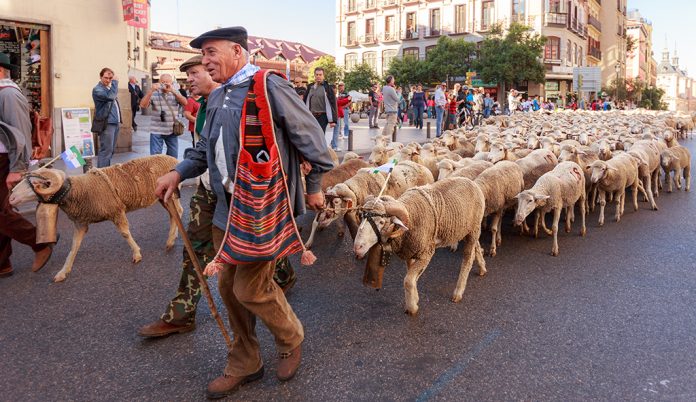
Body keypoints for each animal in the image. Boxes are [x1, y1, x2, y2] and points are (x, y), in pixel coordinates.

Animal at [8, 154, 182, 282]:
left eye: (35, 183)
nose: (11, 198)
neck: (79, 191)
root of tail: (173, 159)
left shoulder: (116, 211)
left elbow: (125, 234)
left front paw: (137, 254)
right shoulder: (81, 223)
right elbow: (74, 246)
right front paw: (63, 272)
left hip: (169, 195)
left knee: (177, 212)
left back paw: (170, 240)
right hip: (163, 197)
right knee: (175, 214)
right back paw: (172, 239)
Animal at [354, 177, 484, 316]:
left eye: (382, 222)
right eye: (361, 217)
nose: (357, 247)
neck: (411, 218)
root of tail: (471, 182)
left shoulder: (426, 253)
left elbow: (408, 281)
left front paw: (412, 308)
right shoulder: (409, 252)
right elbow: (412, 278)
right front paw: (415, 299)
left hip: (474, 229)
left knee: (467, 259)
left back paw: (458, 293)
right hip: (469, 230)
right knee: (476, 246)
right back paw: (482, 268)